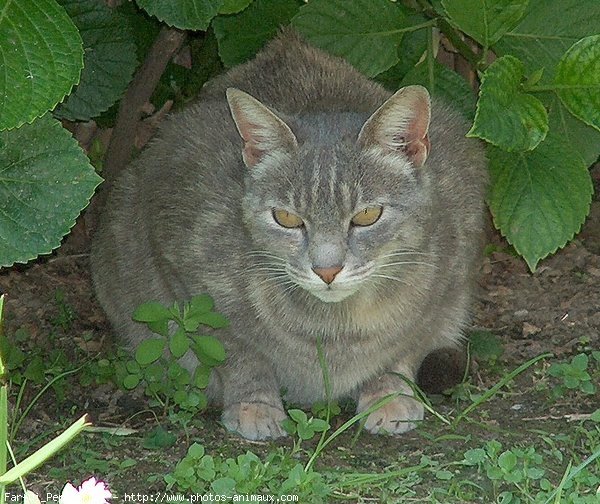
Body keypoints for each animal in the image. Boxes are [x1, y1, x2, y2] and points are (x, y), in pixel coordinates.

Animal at [92, 30, 488, 440]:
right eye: (286, 218)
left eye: (367, 216)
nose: (327, 270)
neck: (336, 326)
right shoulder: (186, 276)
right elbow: (240, 354)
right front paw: (255, 405)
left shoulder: (448, 283)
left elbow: (404, 345)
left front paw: (388, 393)